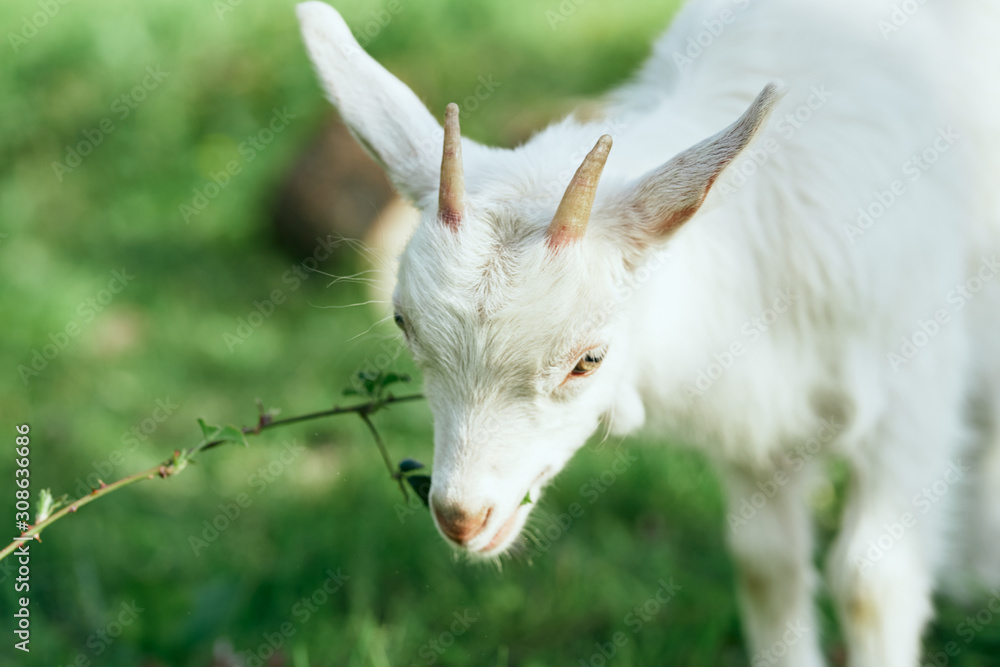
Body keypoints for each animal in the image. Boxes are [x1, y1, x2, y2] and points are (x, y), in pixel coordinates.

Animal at [296, 1, 1000, 665]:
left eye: (589, 359)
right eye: (403, 326)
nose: (463, 517)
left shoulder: (910, 394)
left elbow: (870, 580)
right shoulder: (758, 417)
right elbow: (766, 564)